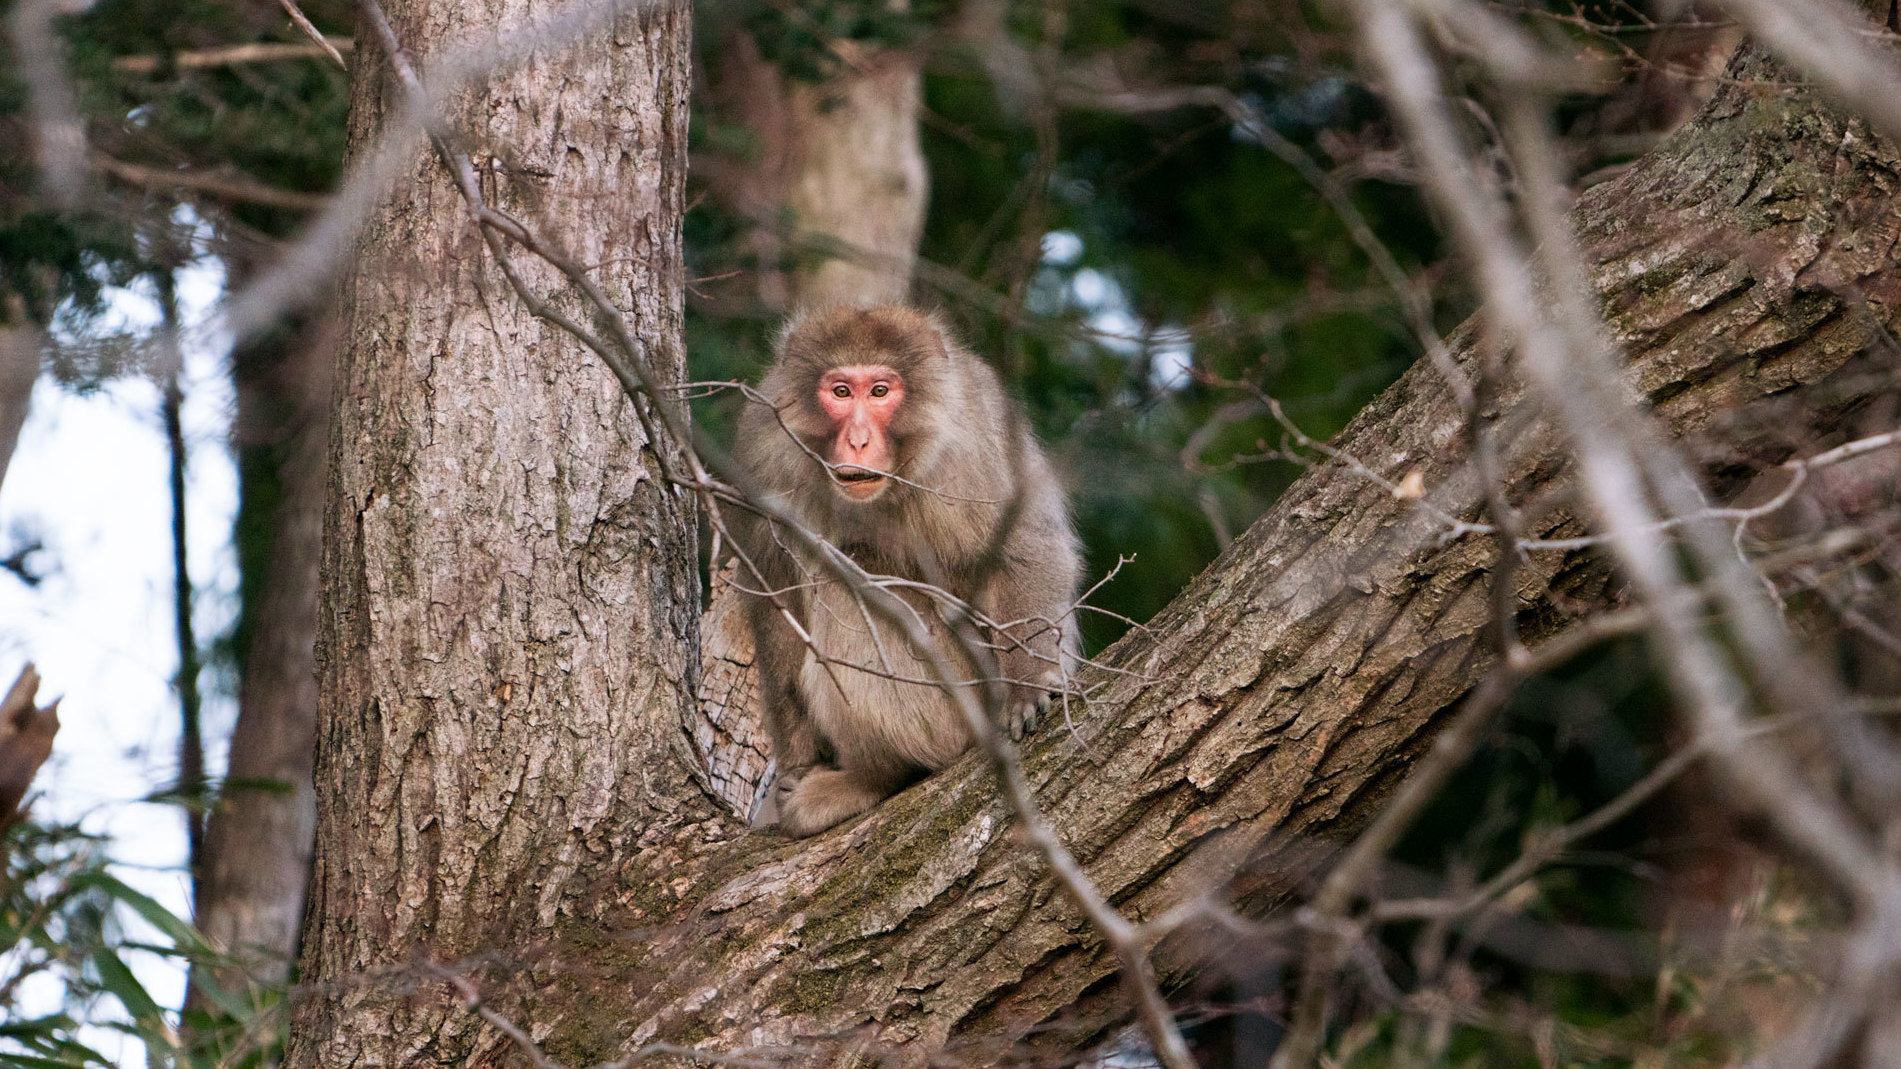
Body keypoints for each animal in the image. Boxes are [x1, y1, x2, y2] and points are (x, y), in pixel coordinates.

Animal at [730, 304, 1081, 838]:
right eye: (841, 392)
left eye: (880, 391)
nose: (857, 440)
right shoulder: (764, 447)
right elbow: (775, 590)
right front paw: (798, 761)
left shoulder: (972, 439)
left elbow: (1022, 544)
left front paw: (1029, 683)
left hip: (966, 699)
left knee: (849, 578)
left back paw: (876, 777)